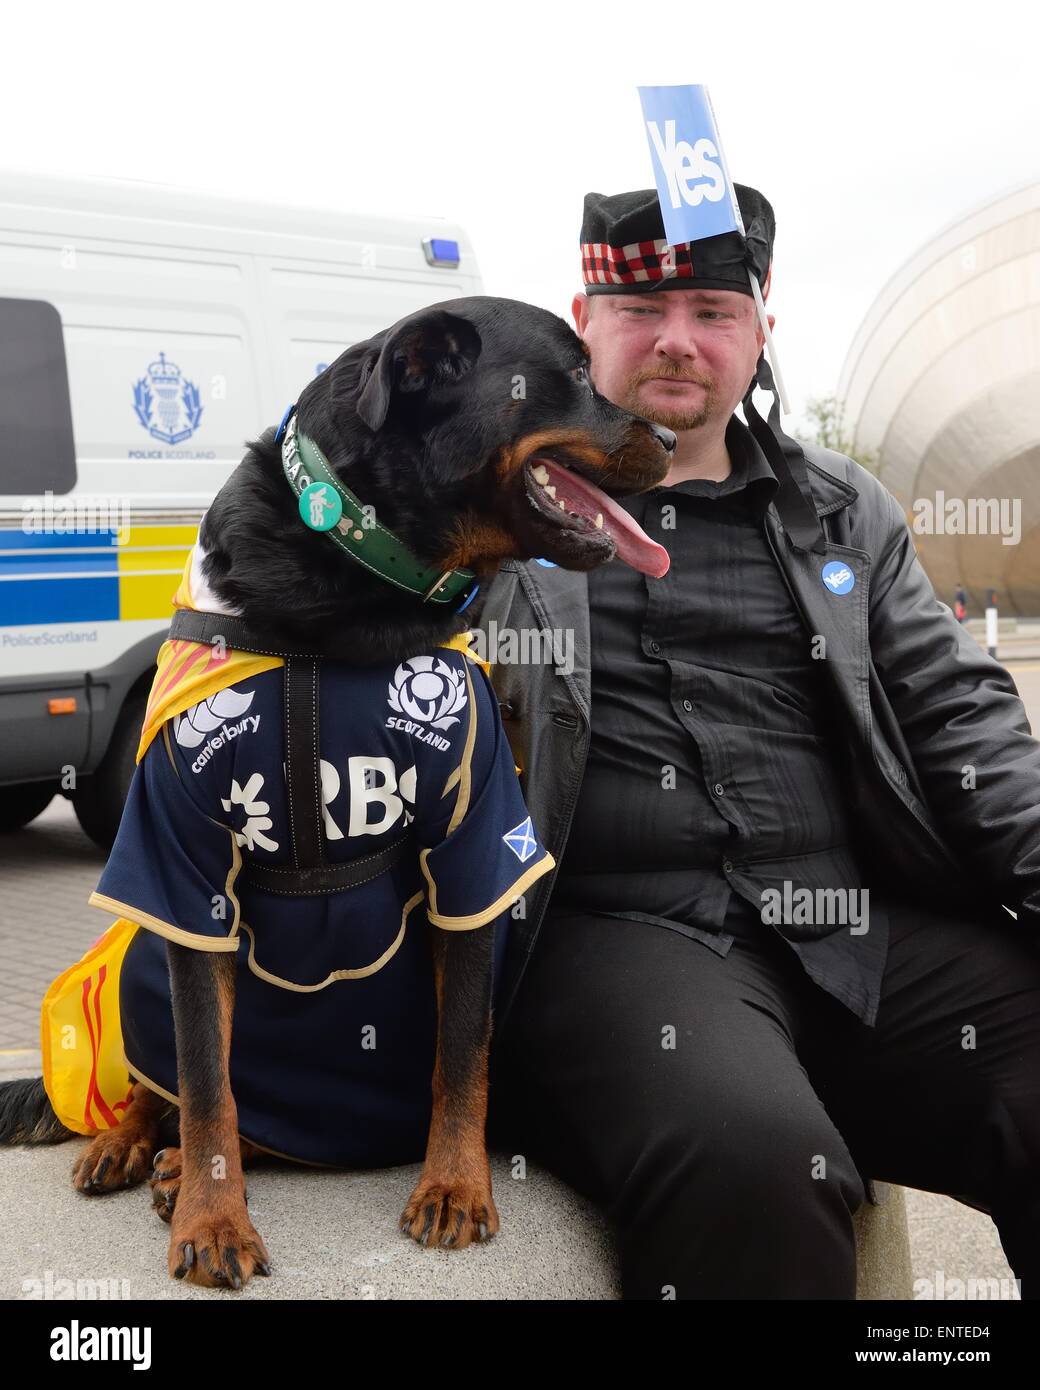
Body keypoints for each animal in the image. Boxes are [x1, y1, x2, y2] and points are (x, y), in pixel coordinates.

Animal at [0, 298, 675, 1284]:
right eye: (580, 374)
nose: (669, 436)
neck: (348, 589)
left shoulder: (474, 844)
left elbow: (461, 1056)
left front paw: (455, 1184)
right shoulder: (182, 865)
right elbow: (205, 1077)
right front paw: (213, 1216)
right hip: (140, 959)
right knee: (181, 1084)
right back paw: (137, 1146)